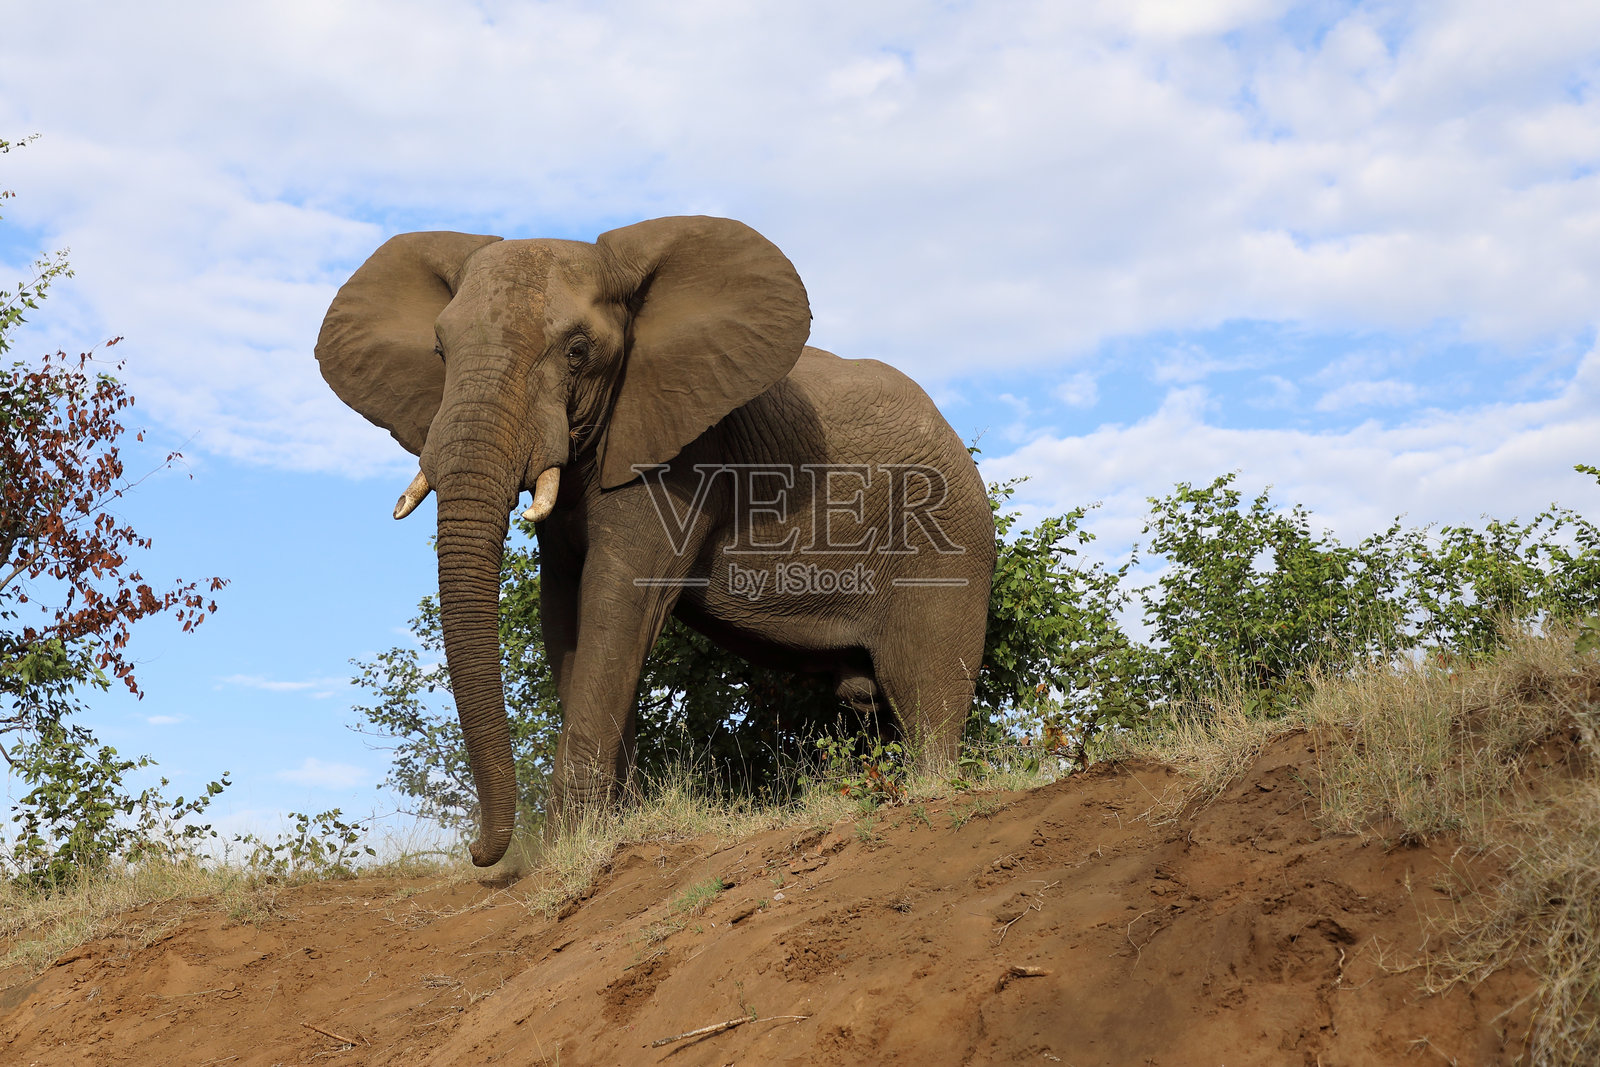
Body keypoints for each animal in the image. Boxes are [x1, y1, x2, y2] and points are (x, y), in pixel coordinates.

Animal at [315, 216, 994, 866]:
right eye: (439, 350)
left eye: (578, 351)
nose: (482, 854)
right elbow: (563, 612)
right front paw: (611, 830)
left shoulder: (683, 457)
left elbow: (617, 602)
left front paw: (567, 849)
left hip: (946, 544)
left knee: (925, 695)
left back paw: (930, 792)